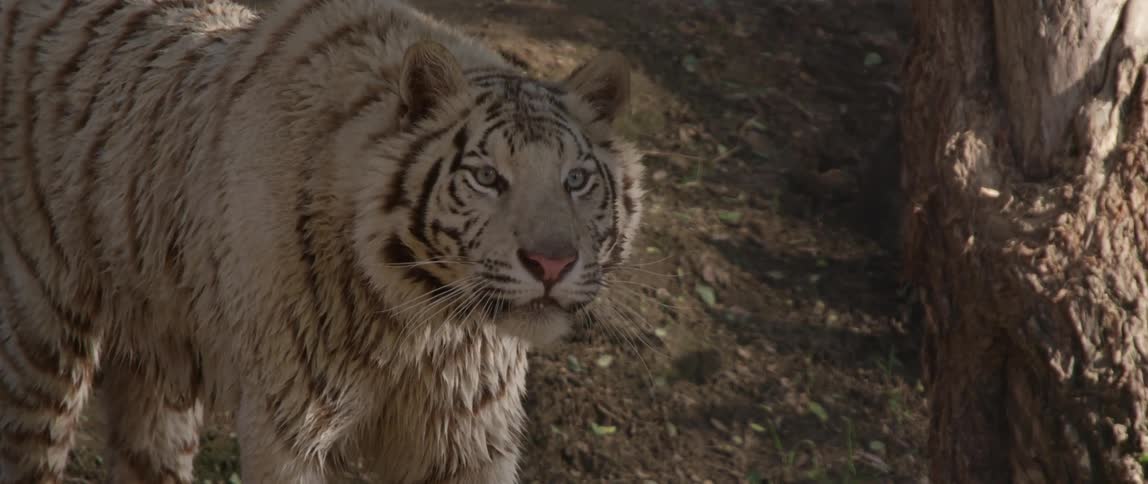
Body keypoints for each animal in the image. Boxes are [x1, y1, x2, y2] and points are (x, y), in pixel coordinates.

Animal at [0, 0, 645, 482]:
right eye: (488, 177)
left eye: (576, 179)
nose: (552, 263)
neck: (424, 324)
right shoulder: (287, 425)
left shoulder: (469, 436)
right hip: (38, 340)